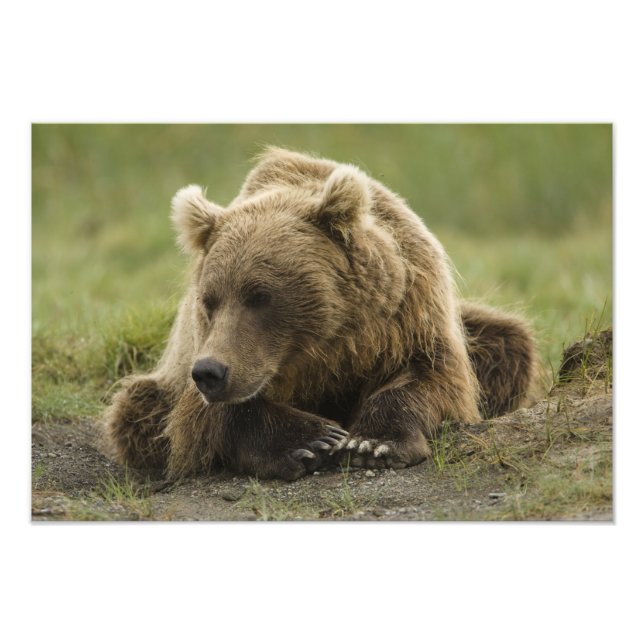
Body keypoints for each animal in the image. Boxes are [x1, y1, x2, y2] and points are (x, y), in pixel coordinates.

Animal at [103, 147, 536, 481]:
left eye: (259, 296)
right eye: (209, 300)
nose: (211, 372)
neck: (325, 347)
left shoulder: (409, 314)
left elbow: (433, 378)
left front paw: (373, 443)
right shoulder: (202, 355)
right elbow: (203, 418)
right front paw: (312, 442)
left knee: (508, 343)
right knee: (136, 408)